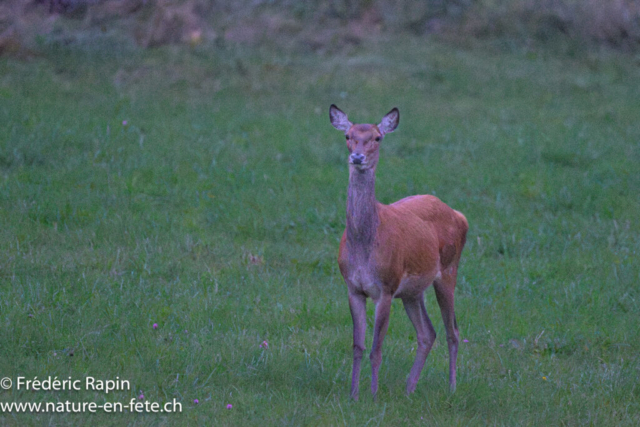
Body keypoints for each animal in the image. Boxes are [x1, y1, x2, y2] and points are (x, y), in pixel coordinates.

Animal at [329, 104, 468, 400]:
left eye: (377, 137)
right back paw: (409, 388)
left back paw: (451, 388)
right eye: (348, 136)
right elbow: (357, 346)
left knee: (452, 331)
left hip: (448, 271)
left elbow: (376, 348)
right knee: (428, 333)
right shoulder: (353, 287)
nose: (357, 157)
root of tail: (460, 216)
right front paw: (353, 394)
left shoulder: (386, 287)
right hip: (413, 292)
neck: (365, 245)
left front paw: (372, 395)